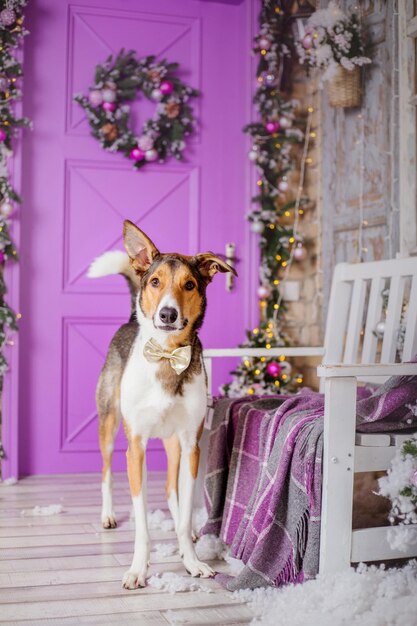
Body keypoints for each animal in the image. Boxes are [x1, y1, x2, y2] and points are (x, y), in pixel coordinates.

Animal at [87, 221, 237, 588]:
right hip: (109, 424)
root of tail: (130, 319)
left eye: (190, 284)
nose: (168, 314)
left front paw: (192, 561)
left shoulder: (191, 443)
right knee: (106, 471)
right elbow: (141, 523)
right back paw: (108, 515)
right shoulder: (136, 447)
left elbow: (183, 511)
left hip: (174, 445)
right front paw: (138, 569)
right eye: (155, 282)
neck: (168, 356)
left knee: (173, 488)